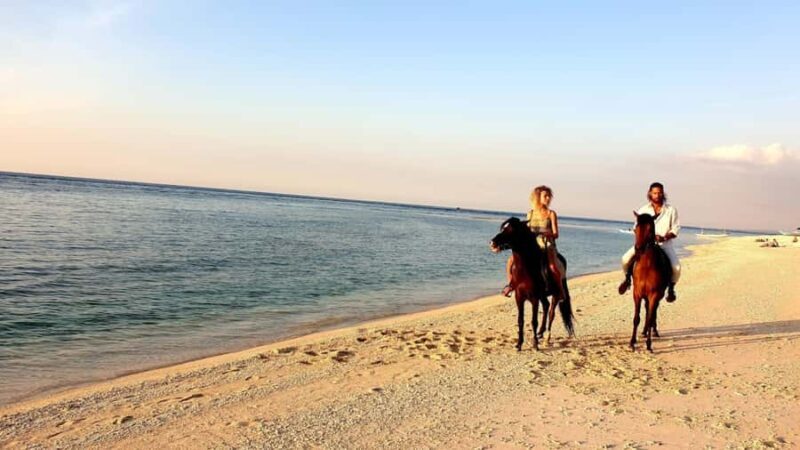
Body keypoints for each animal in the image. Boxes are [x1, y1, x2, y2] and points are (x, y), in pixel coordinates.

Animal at [490, 217, 575, 351]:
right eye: (503, 228)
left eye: (511, 230)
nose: (492, 243)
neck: (525, 270)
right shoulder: (519, 297)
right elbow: (520, 321)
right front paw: (519, 344)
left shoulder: (534, 298)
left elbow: (534, 321)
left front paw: (535, 344)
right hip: (542, 295)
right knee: (546, 306)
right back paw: (540, 333)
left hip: (555, 294)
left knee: (551, 313)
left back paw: (546, 338)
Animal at [629, 212, 672, 352]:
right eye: (636, 228)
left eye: (649, 230)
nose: (638, 249)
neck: (647, 265)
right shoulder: (637, 293)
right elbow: (636, 318)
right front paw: (632, 342)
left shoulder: (654, 295)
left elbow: (651, 316)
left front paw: (648, 344)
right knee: (648, 311)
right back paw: (643, 332)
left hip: (658, 296)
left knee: (652, 314)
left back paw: (654, 331)